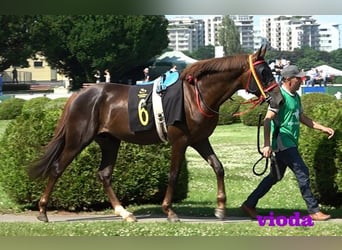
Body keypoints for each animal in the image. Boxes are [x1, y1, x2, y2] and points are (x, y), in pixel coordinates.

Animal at [28, 46, 282, 222]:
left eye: (272, 71)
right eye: (264, 72)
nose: (279, 100)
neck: (196, 96)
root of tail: (78, 94)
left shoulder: (199, 139)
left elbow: (218, 167)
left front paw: (220, 208)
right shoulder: (180, 140)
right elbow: (173, 174)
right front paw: (169, 211)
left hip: (110, 141)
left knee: (104, 174)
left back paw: (124, 213)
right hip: (78, 139)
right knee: (57, 168)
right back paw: (43, 210)